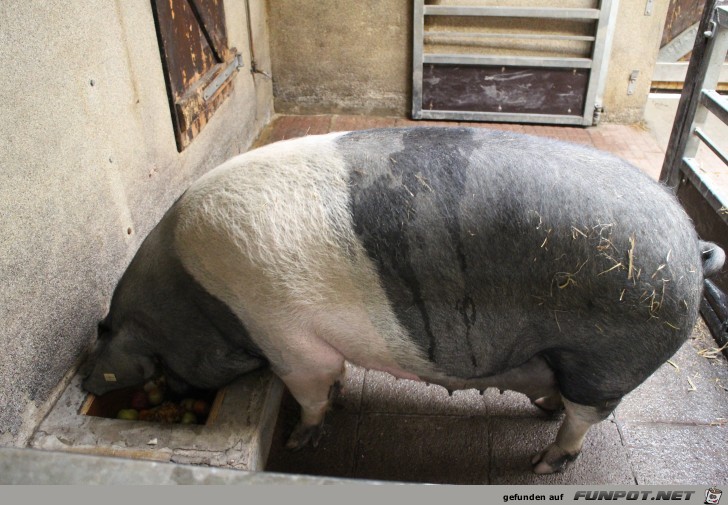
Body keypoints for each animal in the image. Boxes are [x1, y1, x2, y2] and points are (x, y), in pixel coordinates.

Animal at [82, 126, 724, 472]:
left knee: (586, 417)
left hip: (606, 358)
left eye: (123, 354)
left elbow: (312, 387)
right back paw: (543, 412)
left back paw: (541, 463)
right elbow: (331, 379)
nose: (87, 378)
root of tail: (692, 247)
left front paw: (299, 439)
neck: (199, 300)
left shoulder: (285, 335)